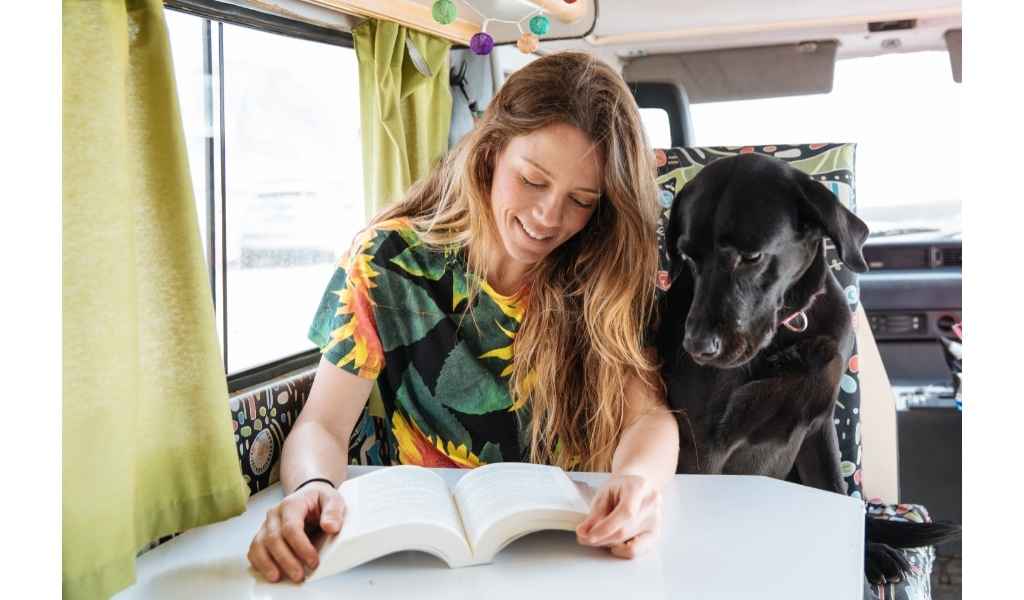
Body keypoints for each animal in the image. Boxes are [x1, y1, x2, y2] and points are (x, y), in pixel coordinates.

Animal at [655, 151, 958, 581]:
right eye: (688, 257)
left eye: (751, 256)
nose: (697, 347)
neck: (789, 329)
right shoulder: (701, 446)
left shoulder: (817, 425)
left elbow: (834, 489)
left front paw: (867, 553)